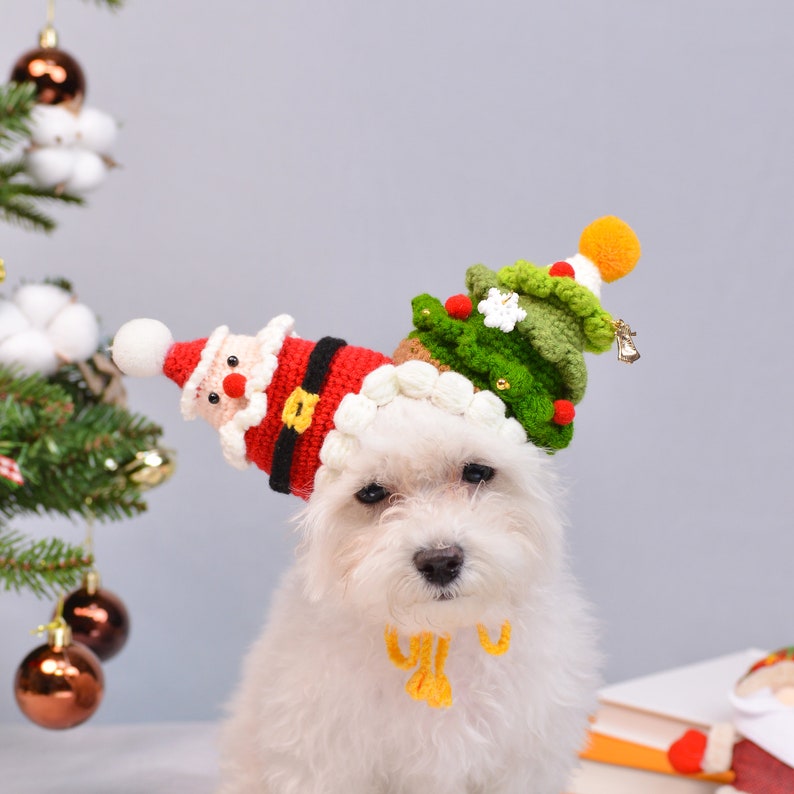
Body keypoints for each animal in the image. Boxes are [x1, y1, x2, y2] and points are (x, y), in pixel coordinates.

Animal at [213, 396, 596, 792]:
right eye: (371, 492)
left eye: (476, 472)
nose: (440, 562)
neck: (440, 634)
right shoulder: (325, 758)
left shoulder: (525, 760)